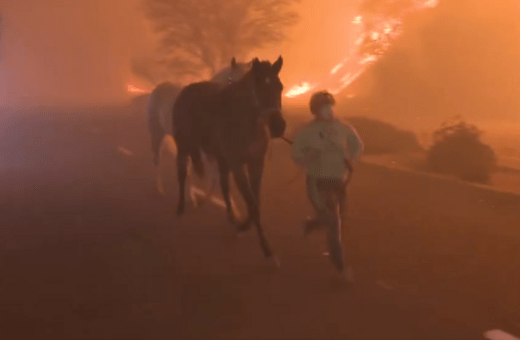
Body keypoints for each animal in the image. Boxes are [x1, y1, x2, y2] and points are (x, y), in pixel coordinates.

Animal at [146, 57, 252, 209]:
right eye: (232, 80)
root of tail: (158, 88)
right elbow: (213, 174)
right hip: (157, 133)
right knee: (157, 159)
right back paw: (160, 190)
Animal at [173, 56, 286, 262]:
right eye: (258, 87)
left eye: (279, 87)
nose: (278, 126)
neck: (247, 123)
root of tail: (186, 90)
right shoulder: (238, 166)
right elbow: (252, 204)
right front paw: (266, 250)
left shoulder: (256, 165)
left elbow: (255, 203)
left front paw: (244, 227)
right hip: (184, 148)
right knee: (182, 174)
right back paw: (180, 208)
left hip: (221, 158)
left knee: (224, 186)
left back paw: (232, 217)